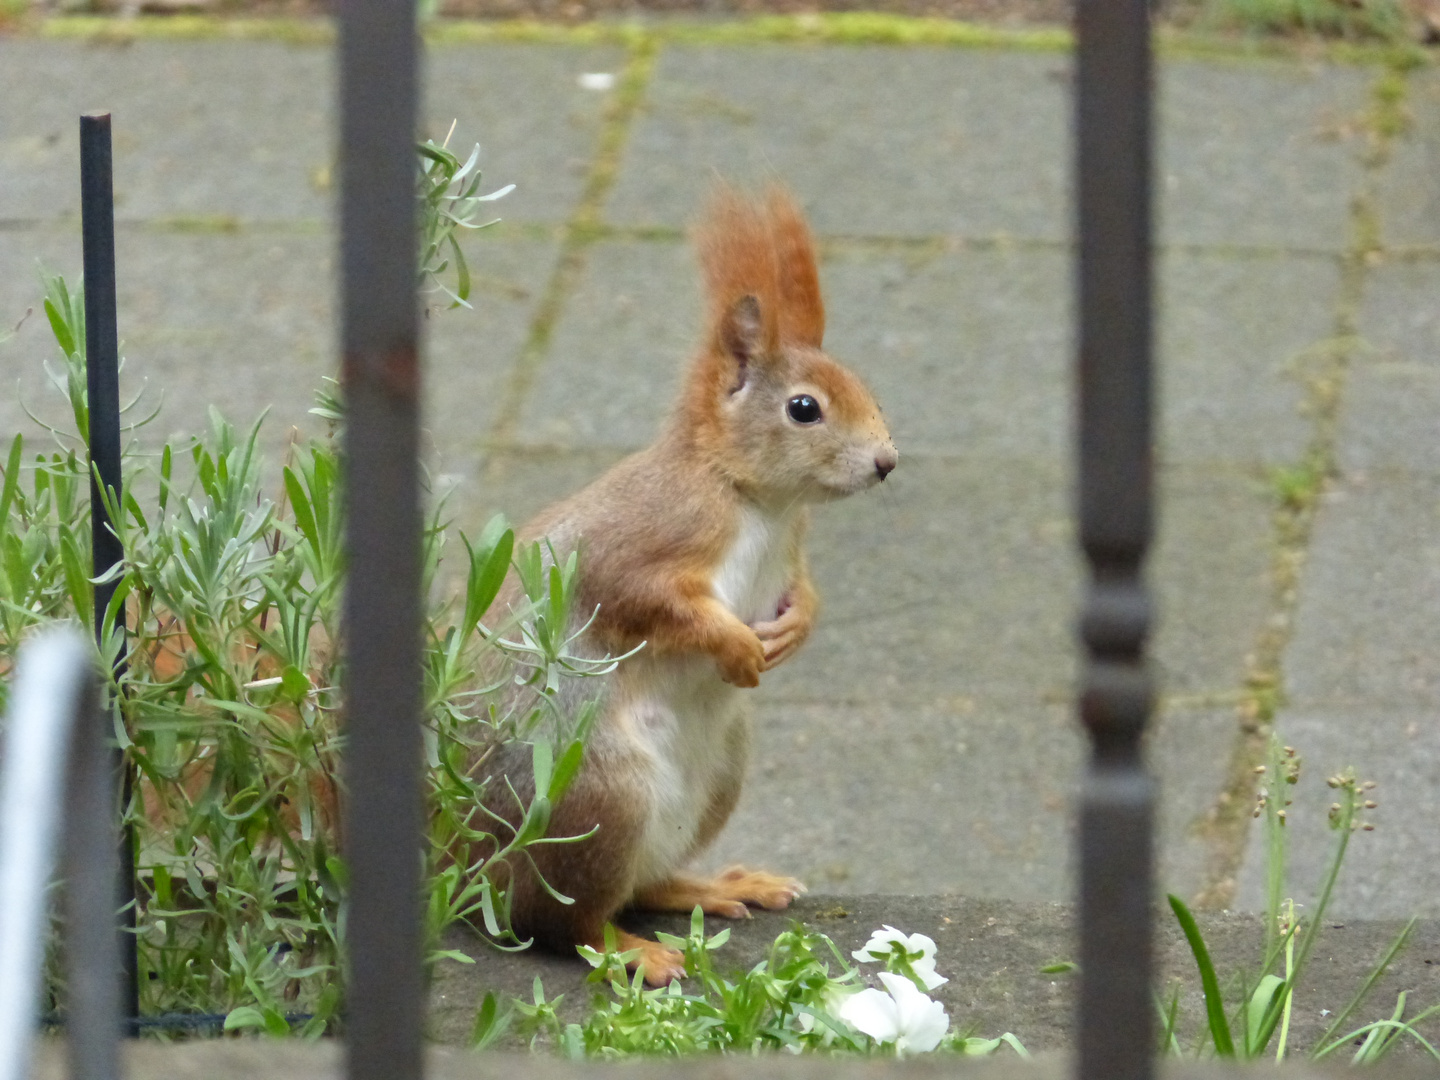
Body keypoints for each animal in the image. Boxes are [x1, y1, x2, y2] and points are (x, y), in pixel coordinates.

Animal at [478, 188, 892, 990]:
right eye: (804, 408)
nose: (887, 462)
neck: (759, 503)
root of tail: (477, 868)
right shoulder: (643, 539)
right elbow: (646, 600)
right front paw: (734, 643)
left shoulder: (792, 549)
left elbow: (804, 590)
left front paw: (795, 627)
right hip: (601, 799)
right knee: (561, 924)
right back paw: (632, 952)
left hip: (719, 771)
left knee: (644, 886)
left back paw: (712, 886)